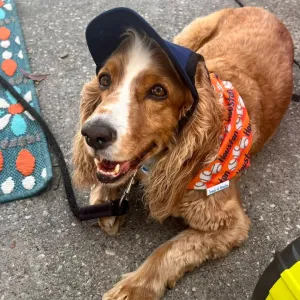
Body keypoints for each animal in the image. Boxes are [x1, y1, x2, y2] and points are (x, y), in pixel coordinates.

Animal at [72, 6, 292, 300]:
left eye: (158, 91)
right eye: (105, 80)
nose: (93, 134)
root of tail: (264, 10)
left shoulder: (229, 222)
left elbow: (169, 249)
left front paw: (134, 288)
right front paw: (105, 199)